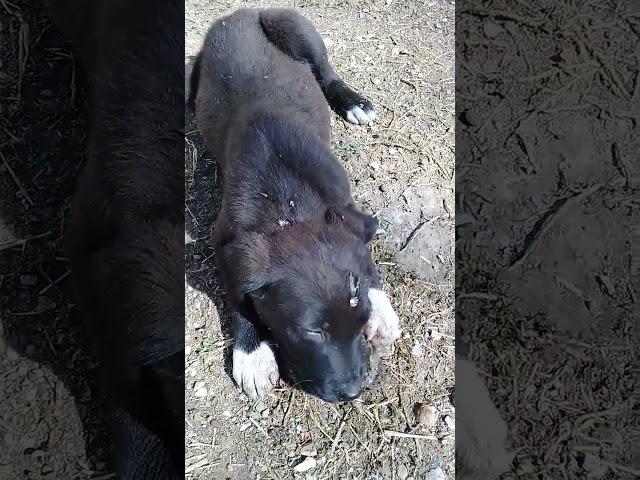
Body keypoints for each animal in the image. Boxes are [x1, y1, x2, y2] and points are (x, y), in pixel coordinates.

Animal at [190, 9, 400, 404]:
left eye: (361, 318)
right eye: (312, 333)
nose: (352, 392)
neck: (291, 205)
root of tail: (239, 12)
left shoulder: (346, 207)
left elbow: (364, 253)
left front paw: (380, 305)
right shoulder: (225, 240)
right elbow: (237, 293)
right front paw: (251, 353)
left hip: (291, 23)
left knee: (325, 69)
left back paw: (354, 102)